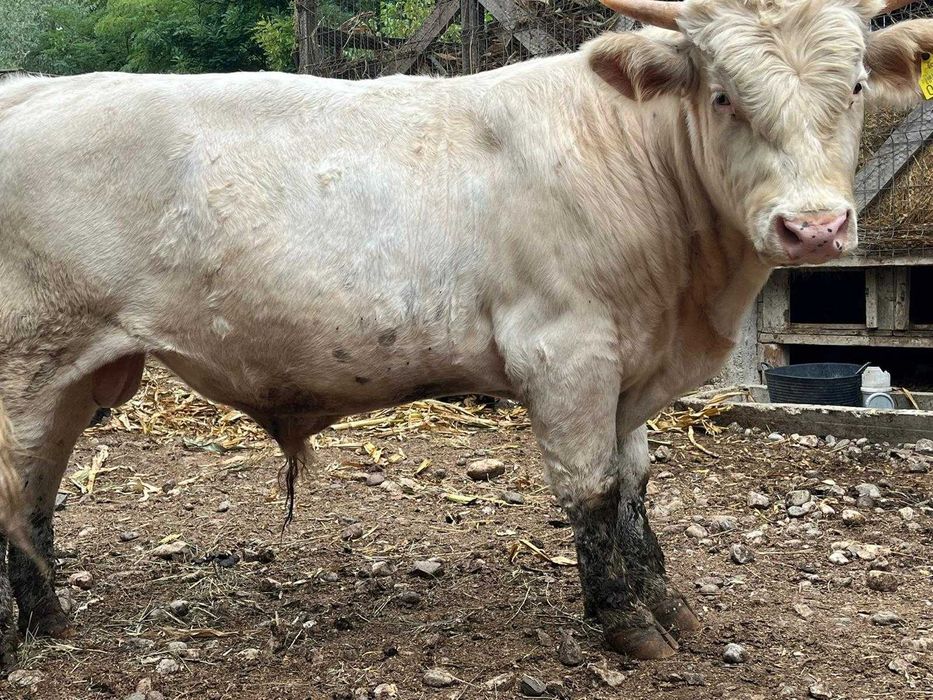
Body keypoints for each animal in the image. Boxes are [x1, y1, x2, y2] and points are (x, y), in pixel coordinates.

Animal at [0, 0, 928, 665]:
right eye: (722, 94)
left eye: (853, 87)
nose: (813, 228)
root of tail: (34, 85)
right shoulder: (565, 351)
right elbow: (591, 490)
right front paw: (624, 623)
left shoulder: (630, 370)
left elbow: (634, 484)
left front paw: (669, 604)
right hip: (28, 358)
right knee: (16, 485)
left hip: (76, 372)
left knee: (38, 490)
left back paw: (51, 620)